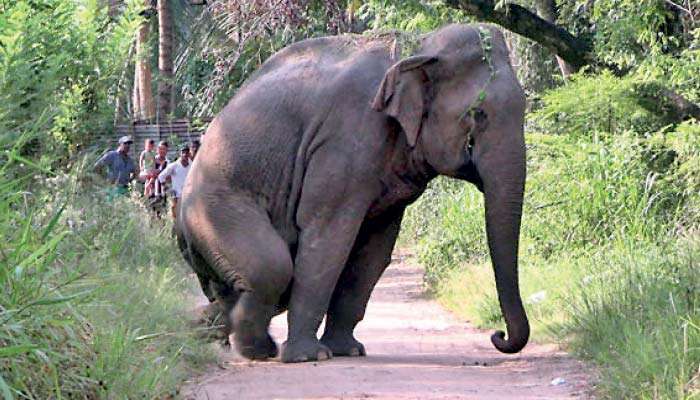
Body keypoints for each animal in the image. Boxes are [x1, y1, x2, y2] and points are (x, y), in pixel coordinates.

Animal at [177, 23, 529, 363]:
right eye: (478, 113)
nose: (498, 335)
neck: (417, 48)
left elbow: (374, 249)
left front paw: (348, 350)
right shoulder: (344, 139)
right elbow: (329, 236)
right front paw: (307, 356)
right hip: (214, 209)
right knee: (271, 269)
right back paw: (257, 349)